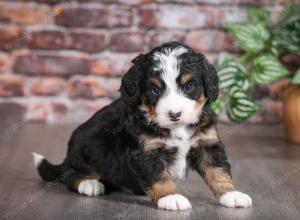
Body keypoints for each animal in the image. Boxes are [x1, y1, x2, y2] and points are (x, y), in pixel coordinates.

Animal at [32, 41, 252, 211]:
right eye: (155, 90)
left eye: (189, 86)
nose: (174, 114)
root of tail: (67, 158)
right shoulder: (145, 152)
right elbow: (159, 176)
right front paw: (170, 197)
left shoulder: (207, 143)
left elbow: (218, 171)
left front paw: (232, 194)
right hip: (85, 148)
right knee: (71, 177)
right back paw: (90, 184)